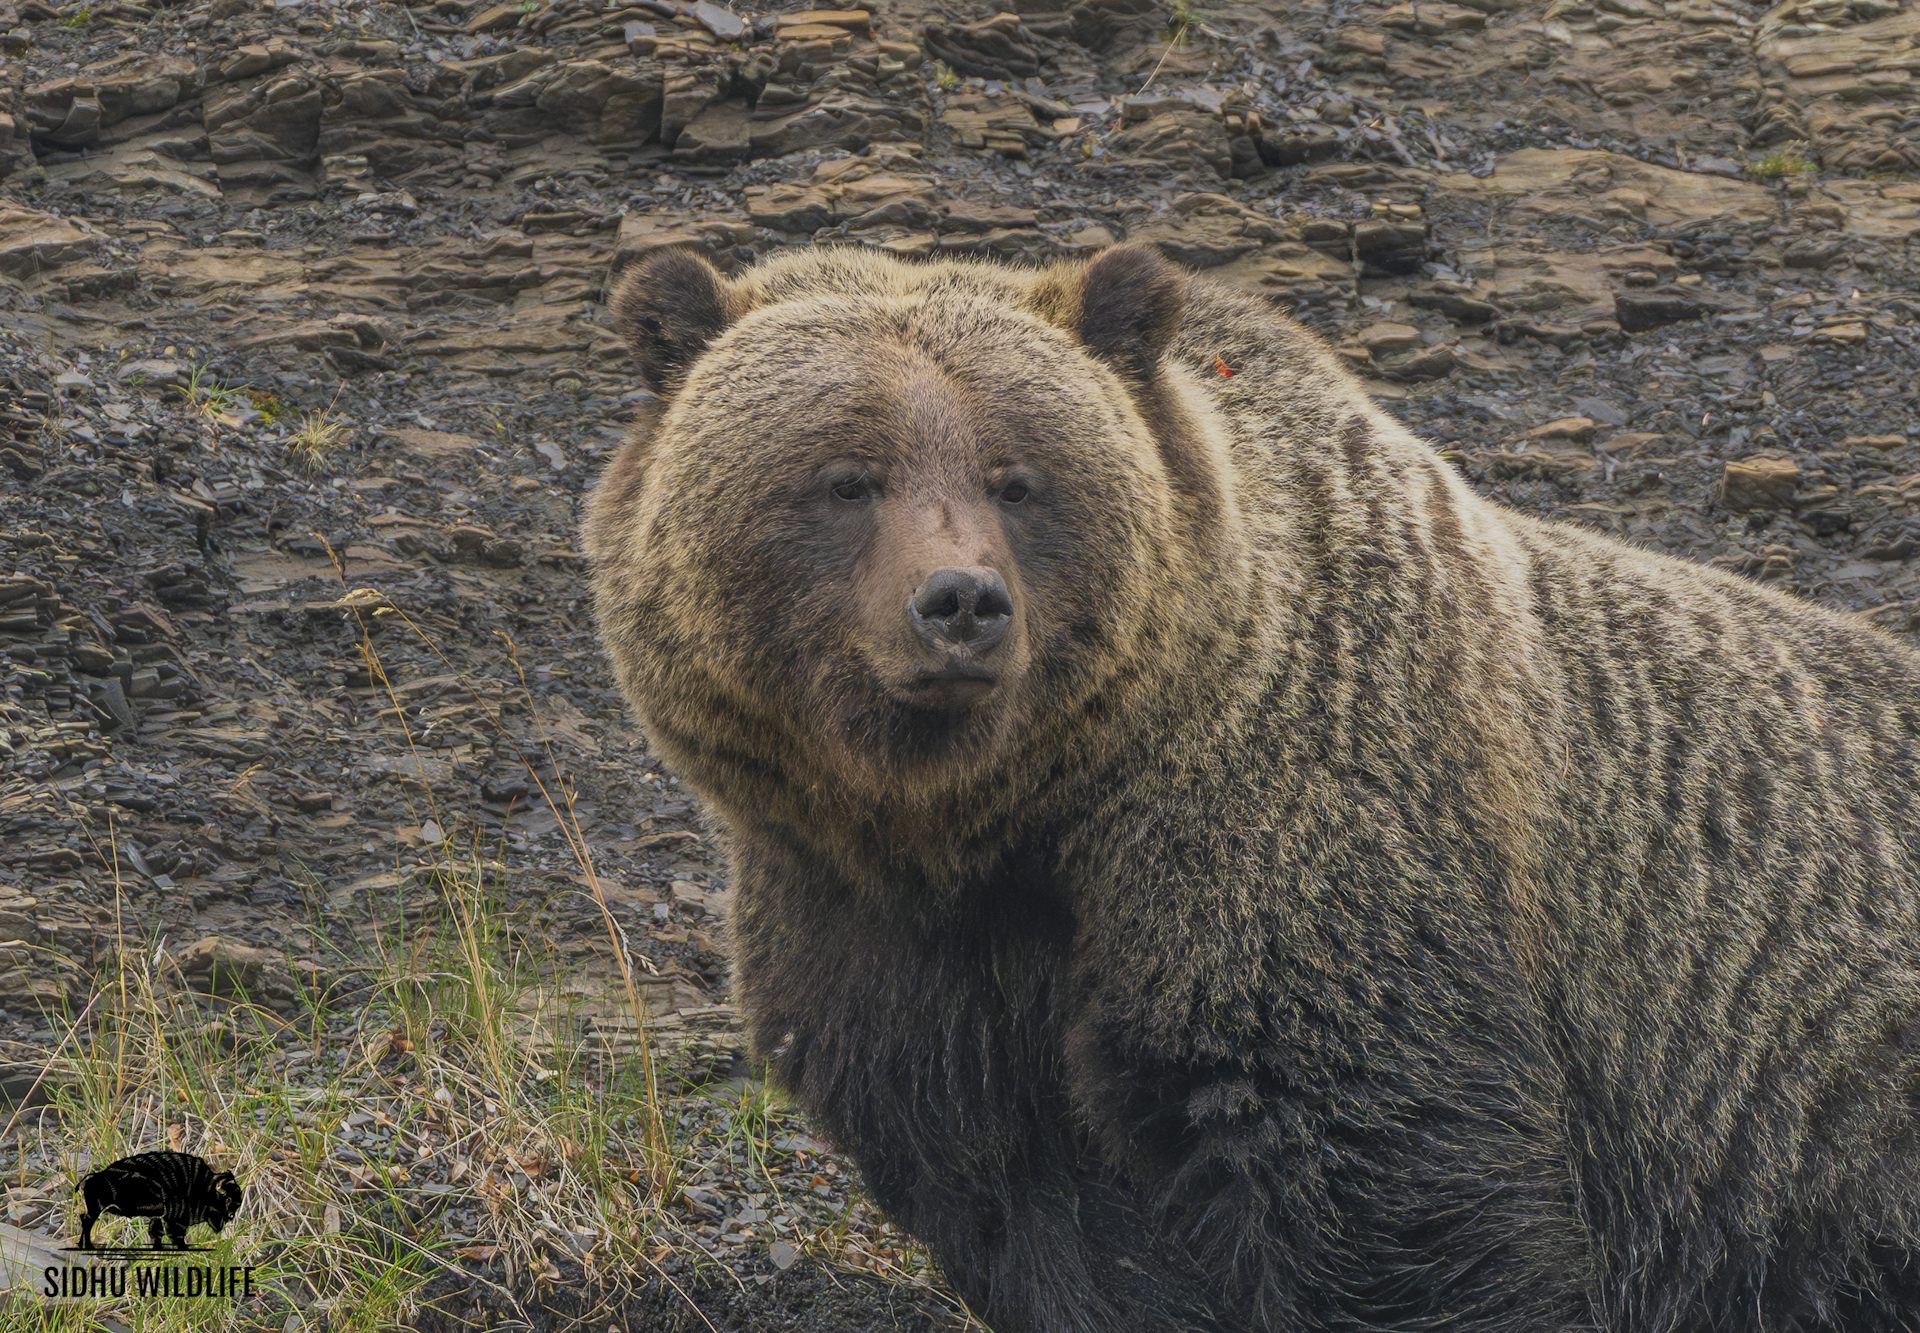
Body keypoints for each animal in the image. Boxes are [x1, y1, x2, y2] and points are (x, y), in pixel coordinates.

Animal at [78, 1151, 243, 1250]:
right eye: (227, 1199)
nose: (230, 1218)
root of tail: (92, 1177)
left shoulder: (162, 1218)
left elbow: (156, 1232)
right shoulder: (175, 1221)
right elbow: (175, 1236)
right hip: (97, 1208)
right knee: (86, 1222)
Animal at [584, 242, 1920, 1332]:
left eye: (1017, 477)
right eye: (846, 476)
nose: (960, 602)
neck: (1005, 816)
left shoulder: (1294, 844)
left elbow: (1386, 1190)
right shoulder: (879, 939)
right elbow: (1036, 1213)